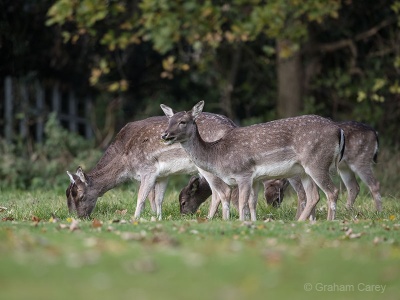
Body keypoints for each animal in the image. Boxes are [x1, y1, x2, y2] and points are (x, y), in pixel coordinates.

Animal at [64, 113, 236, 219]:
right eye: (68, 196)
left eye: (81, 196)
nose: (79, 216)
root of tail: (231, 126)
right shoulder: (163, 175)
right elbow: (158, 198)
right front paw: (158, 218)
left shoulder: (148, 170)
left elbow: (142, 197)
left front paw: (135, 218)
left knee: (219, 191)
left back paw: (210, 218)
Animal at [159, 101, 344, 220]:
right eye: (169, 121)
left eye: (183, 121)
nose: (165, 135)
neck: (218, 156)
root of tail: (338, 130)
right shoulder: (255, 178)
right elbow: (252, 203)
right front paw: (252, 223)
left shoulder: (243, 173)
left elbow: (242, 202)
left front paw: (241, 223)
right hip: (304, 170)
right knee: (313, 195)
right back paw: (300, 223)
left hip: (317, 161)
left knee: (332, 191)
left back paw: (329, 222)